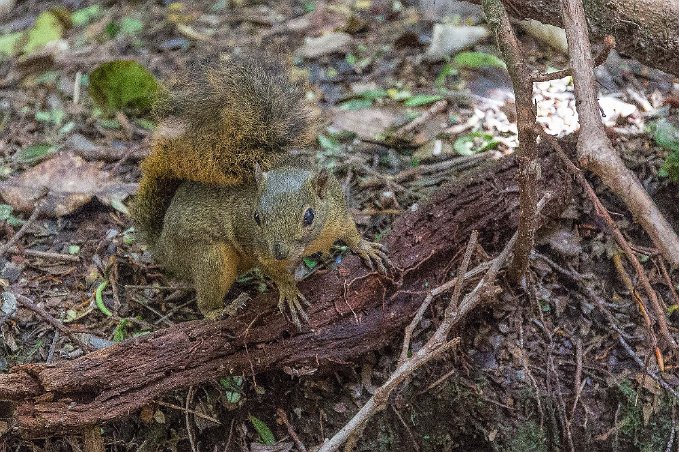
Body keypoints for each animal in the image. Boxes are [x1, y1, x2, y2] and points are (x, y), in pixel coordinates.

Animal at [130, 55, 390, 328]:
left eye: (309, 216)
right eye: (256, 217)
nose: (280, 252)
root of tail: (161, 245)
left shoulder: (336, 209)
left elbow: (350, 230)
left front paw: (366, 247)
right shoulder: (259, 249)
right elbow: (274, 270)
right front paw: (289, 290)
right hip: (211, 258)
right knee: (206, 301)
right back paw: (221, 310)